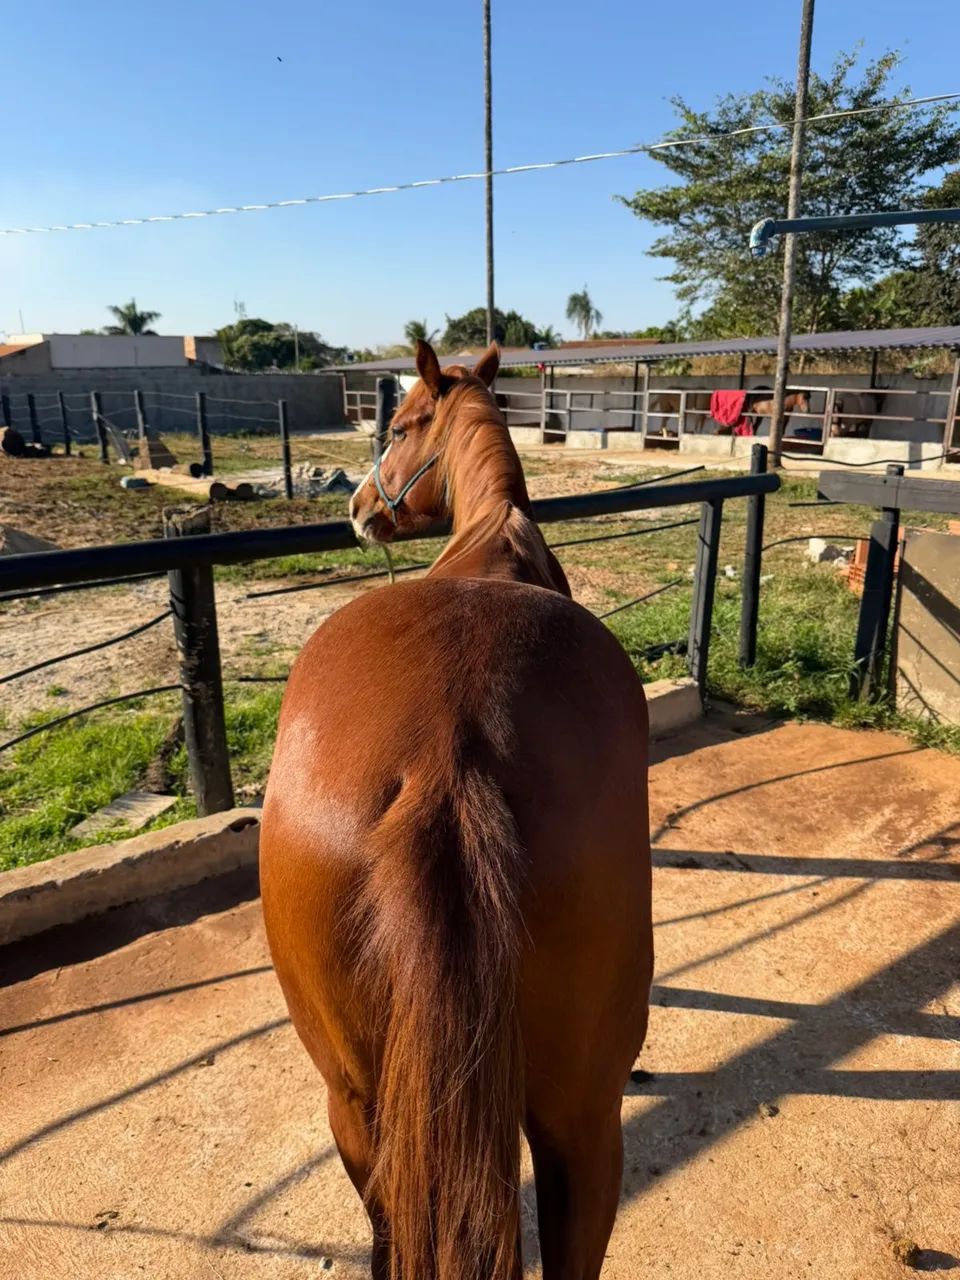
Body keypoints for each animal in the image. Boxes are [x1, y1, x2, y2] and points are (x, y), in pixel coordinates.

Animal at [259, 339, 653, 1280]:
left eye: (401, 424)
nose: (360, 510)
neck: (493, 535)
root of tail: (451, 750)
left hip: (367, 1103)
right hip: (558, 1112)